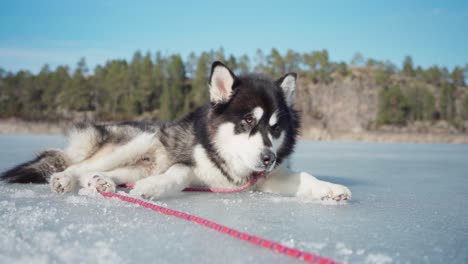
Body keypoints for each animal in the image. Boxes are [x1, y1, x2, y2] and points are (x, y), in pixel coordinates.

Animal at [0, 62, 352, 201]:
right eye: (248, 122)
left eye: (275, 127)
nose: (268, 158)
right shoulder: (189, 164)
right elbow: (178, 173)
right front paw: (153, 189)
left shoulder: (268, 179)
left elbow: (304, 178)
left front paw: (331, 189)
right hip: (142, 139)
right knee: (81, 165)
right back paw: (66, 178)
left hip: (143, 160)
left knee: (104, 172)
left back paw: (102, 184)